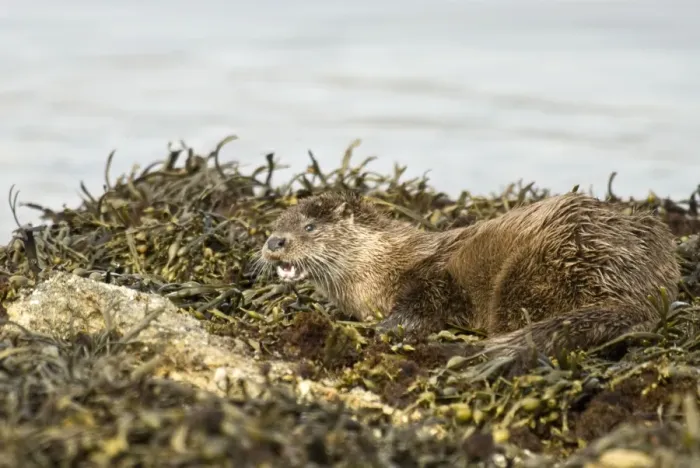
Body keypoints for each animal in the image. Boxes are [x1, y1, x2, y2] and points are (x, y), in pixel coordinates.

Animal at [259, 190, 681, 356]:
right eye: (276, 224)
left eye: (310, 227)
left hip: (533, 270)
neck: (379, 267)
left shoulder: (429, 276)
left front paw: (387, 328)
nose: (273, 242)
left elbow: (423, 303)